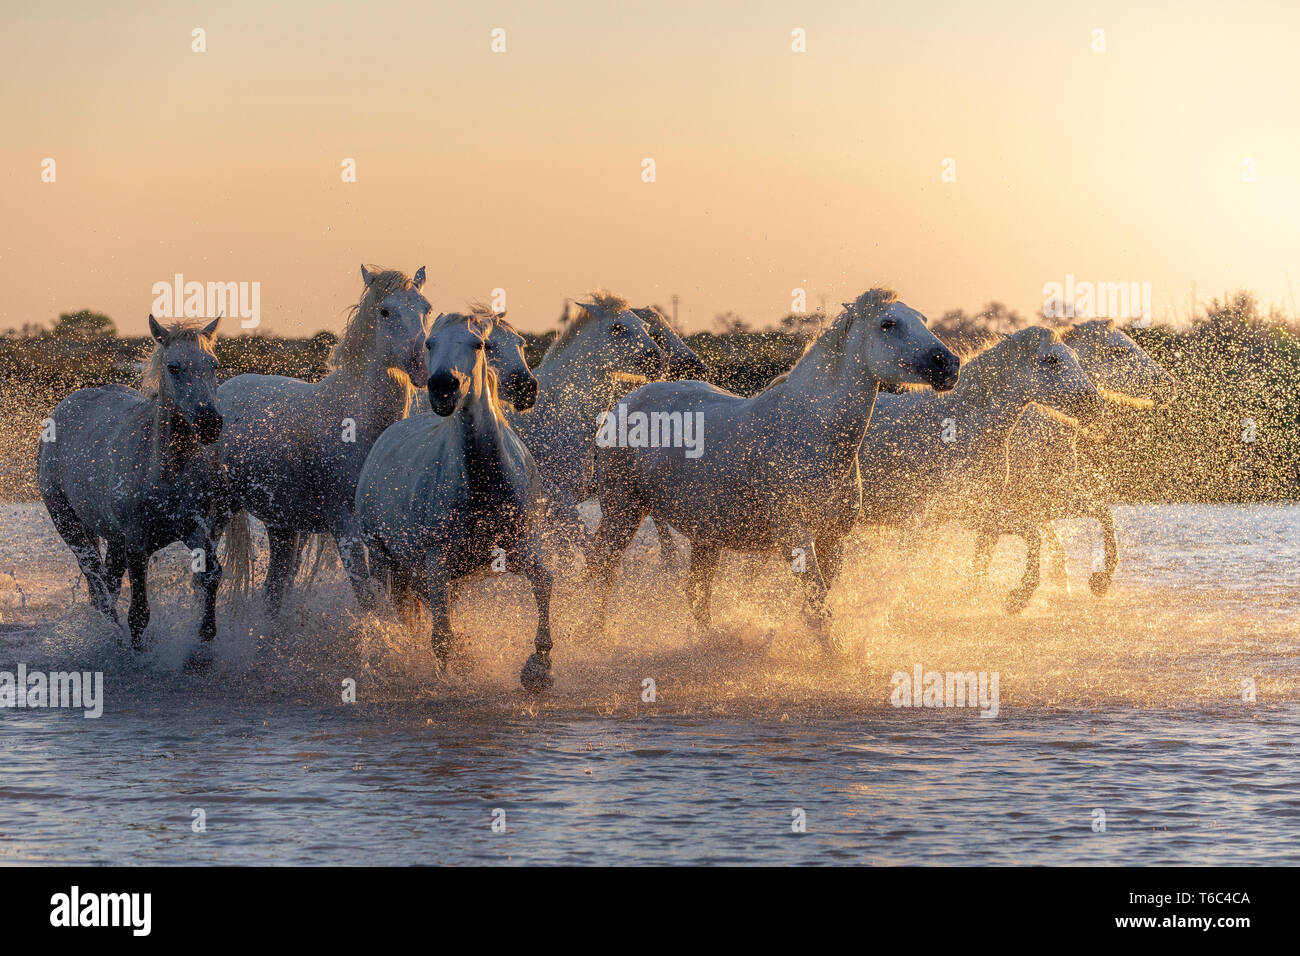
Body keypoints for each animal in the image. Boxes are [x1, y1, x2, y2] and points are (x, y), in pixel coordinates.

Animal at [37, 317, 226, 660]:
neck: (164, 469)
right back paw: (110, 636)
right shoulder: (137, 543)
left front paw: (204, 642)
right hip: (68, 523)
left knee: (108, 583)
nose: (209, 423)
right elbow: (138, 611)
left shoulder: (195, 527)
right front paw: (137, 651)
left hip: (112, 536)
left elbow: (211, 575)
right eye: (174, 367)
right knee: (97, 582)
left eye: (213, 364)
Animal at [358, 314, 556, 697]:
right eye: (430, 343)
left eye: (479, 344)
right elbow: (442, 636)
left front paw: (539, 670)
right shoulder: (436, 562)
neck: (485, 484)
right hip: (382, 555)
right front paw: (456, 672)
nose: (442, 387)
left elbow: (543, 584)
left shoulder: (527, 546)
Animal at [857, 327, 1102, 613]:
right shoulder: (928, 517)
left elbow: (1021, 538)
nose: (1094, 403)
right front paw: (1018, 596)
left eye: (1075, 357)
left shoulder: (975, 510)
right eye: (1051, 360)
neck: (962, 426)